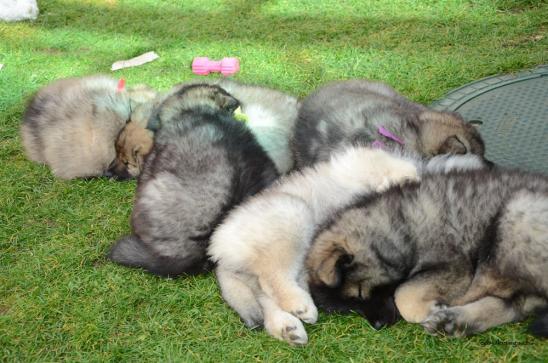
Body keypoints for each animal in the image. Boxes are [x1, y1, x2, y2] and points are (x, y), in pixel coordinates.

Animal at [308, 169, 548, 340]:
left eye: (358, 294)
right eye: (350, 309)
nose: (378, 326)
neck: (400, 226)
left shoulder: (455, 267)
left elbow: (403, 293)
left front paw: (430, 307)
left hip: (514, 215)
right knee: (515, 305)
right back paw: (453, 322)